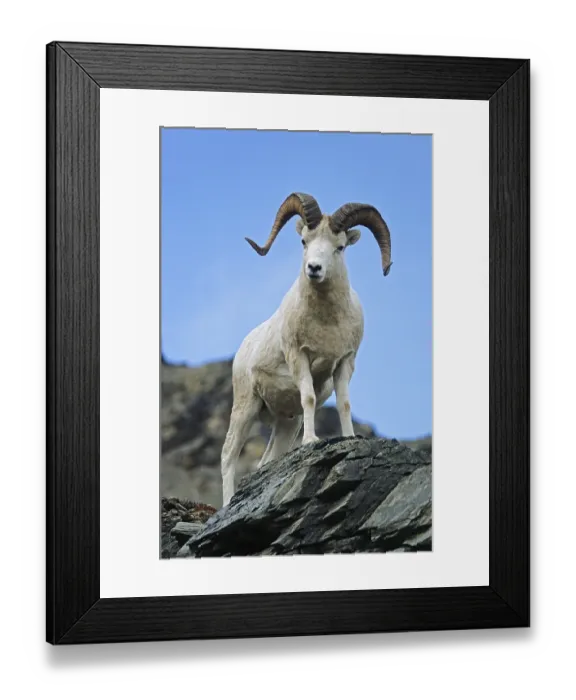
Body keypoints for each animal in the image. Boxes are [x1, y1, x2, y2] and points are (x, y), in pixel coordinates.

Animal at [220, 192, 393, 506]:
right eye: (304, 241)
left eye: (339, 247)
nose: (314, 269)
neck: (326, 322)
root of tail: (243, 349)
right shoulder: (300, 357)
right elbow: (310, 398)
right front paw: (312, 441)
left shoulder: (344, 362)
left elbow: (344, 403)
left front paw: (349, 438)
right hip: (245, 408)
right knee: (228, 456)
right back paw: (226, 505)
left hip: (286, 424)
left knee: (265, 460)